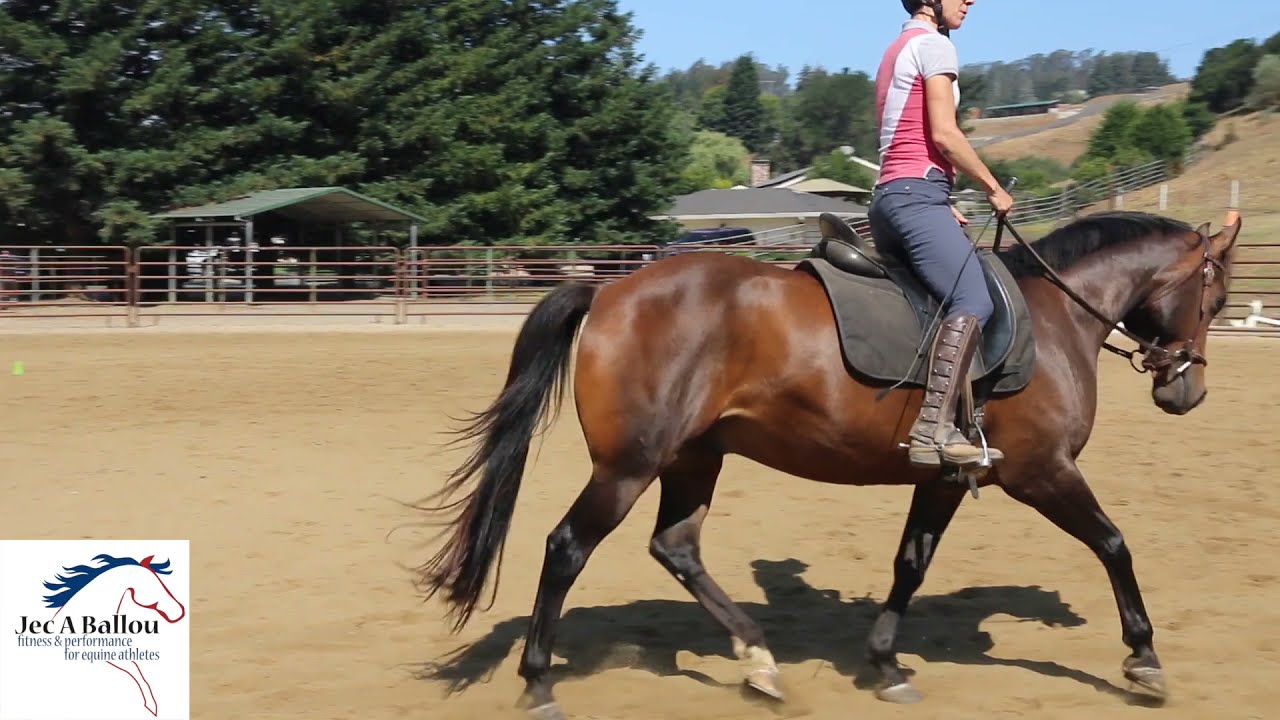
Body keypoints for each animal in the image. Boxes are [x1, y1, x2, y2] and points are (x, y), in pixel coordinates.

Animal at [412, 207, 1242, 720]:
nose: (1189, 390)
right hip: (628, 465)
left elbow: (912, 564)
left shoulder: (947, 478)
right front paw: (1144, 658)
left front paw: (885, 664)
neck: (1057, 314)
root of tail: (611, 288)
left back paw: (759, 660)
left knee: (676, 547)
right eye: (1215, 298)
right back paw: (539, 681)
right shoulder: (1043, 473)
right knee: (567, 548)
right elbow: (1114, 544)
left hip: (692, 456)